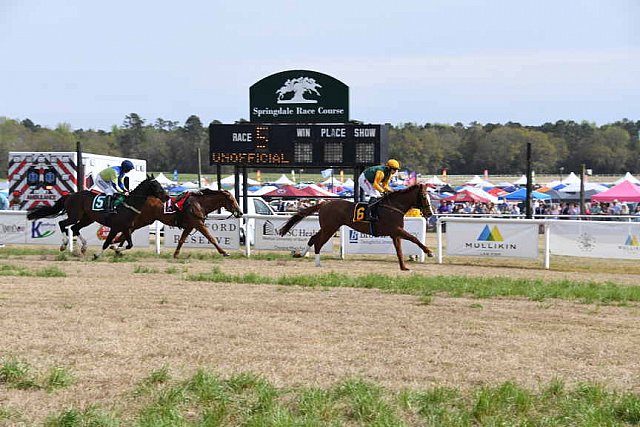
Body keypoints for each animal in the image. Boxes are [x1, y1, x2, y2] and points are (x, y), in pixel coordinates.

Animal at [26, 174, 169, 258]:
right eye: (155, 185)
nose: (167, 197)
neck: (128, 205)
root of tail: (71, 195)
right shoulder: (115, 228)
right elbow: (106, 242)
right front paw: (97, 254)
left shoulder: (126, 228)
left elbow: (129, 245)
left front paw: (116, 248)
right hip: (74, 216)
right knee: (63, 224)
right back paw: (64, 244)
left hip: (87, 219)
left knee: (74, 228)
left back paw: (83, 247)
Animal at [278, 184, 432, 270]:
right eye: (424, 197)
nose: (430, 213)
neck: (394, 206)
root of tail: (325, 203)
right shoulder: (396, 229)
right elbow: (413, 238)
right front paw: (429, 252)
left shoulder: (395, 233)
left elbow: (399, 251)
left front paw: (404, 267)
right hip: (330, 228)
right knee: (318, 242)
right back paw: (317, 263)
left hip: (328, 227)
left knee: (313, 238)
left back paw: (301, 254)